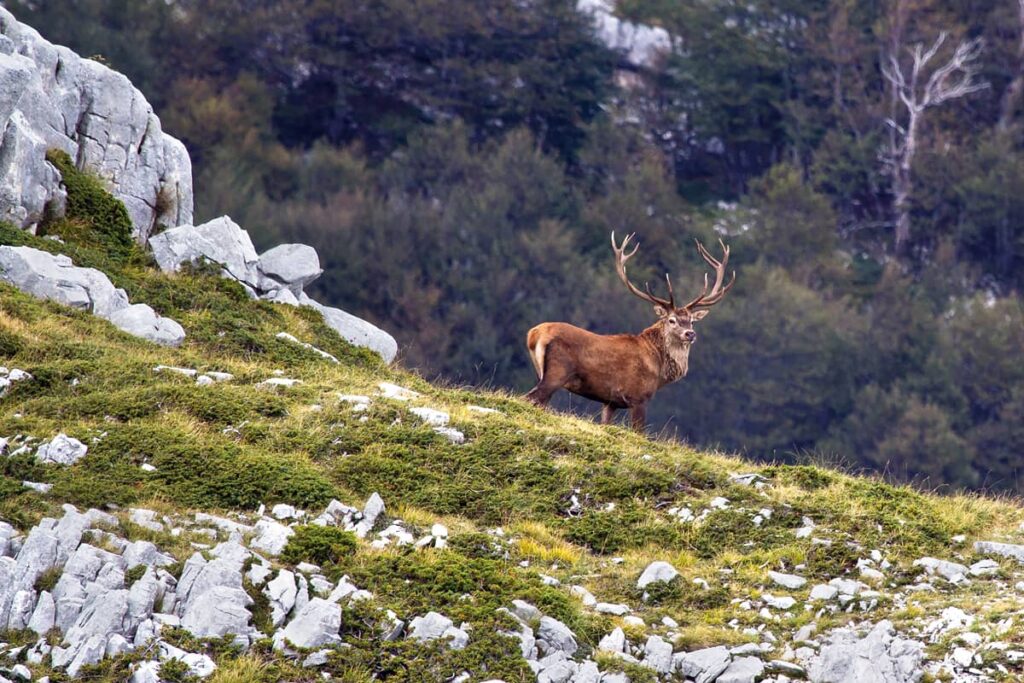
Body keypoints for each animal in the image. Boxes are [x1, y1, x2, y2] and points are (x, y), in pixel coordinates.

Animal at [525, 233, 735, 430]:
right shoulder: (639, 396)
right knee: (530, 397)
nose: (690, 334)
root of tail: (534, 335)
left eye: (691, 321)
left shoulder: (610, 401)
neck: (658, 368)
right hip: (557, 372)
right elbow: (639, 431)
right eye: (672, 320)